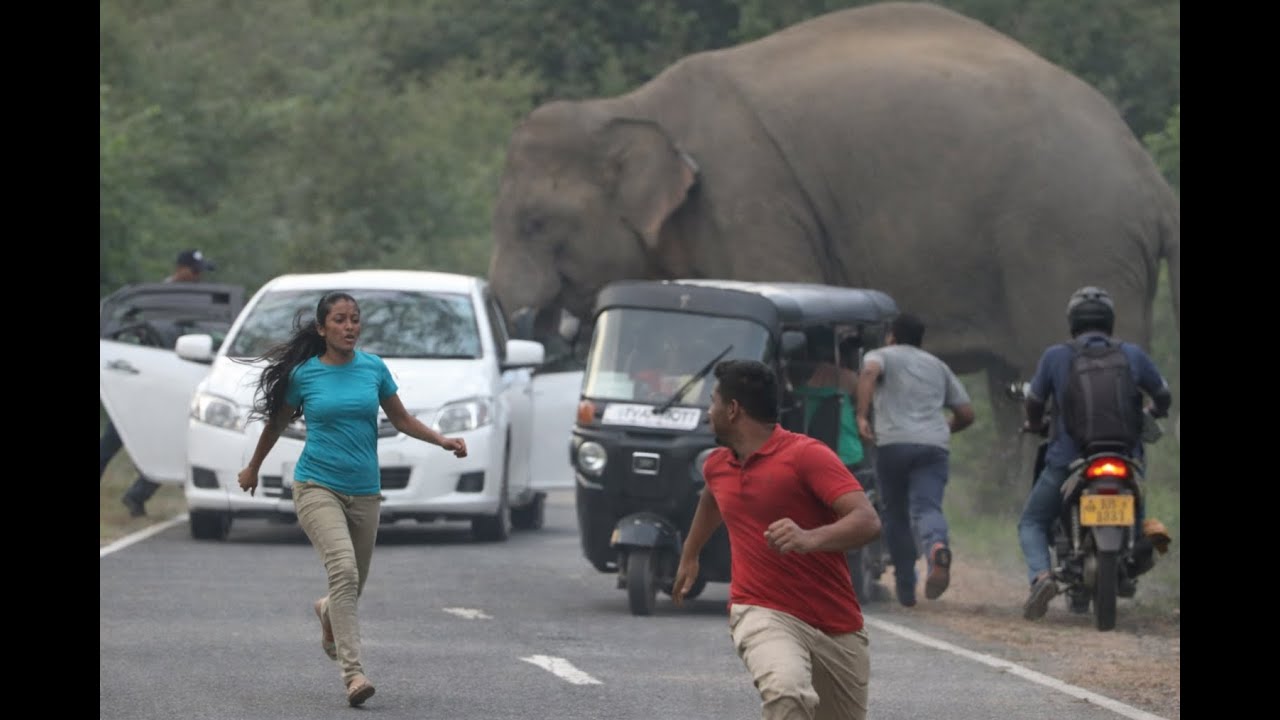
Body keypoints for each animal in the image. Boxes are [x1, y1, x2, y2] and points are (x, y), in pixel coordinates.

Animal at [486, 1, 1180, 481]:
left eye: (537, 223)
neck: (631, 104)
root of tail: (1151, 177)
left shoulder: (749, 200)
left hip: (1073, 242)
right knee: (1015, 395)